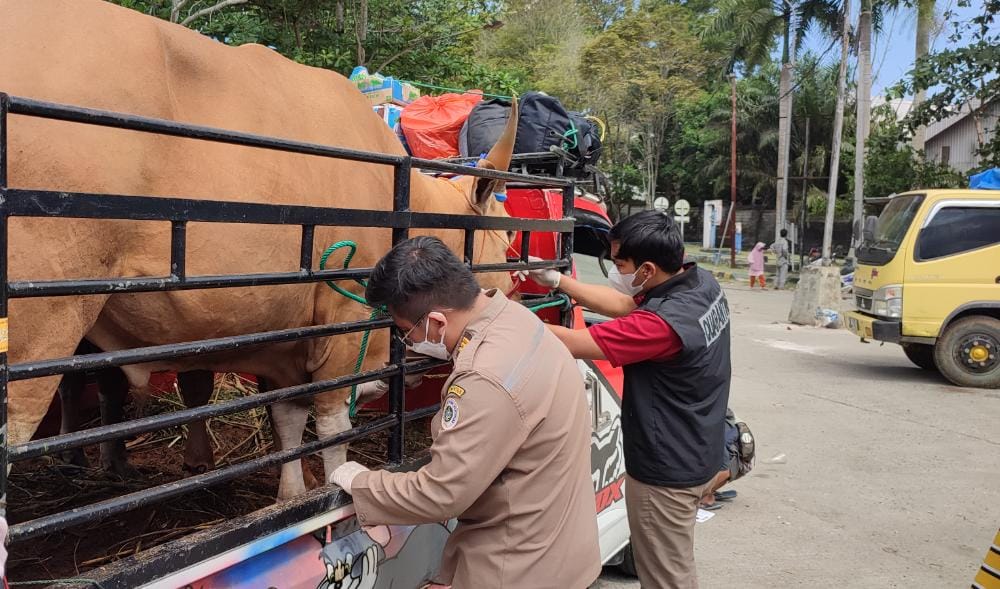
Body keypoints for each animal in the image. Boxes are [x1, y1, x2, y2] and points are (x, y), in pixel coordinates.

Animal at [5, 0, 524, 498]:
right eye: (505, 240)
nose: (516, 291)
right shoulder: (345, 319)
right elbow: (333, 423)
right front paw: (334, 496)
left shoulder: (288, 341)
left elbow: (288, 421)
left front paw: (289, 493)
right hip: (42, 320)